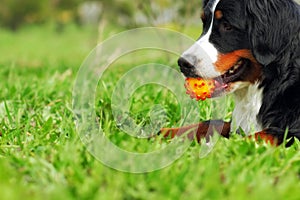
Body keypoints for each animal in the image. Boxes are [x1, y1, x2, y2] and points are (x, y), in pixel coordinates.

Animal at [162, 0, 300, 147]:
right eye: (204, 23)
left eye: (227, 26)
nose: (183, 63)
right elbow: (208, 123)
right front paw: (161, 133)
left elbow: (252, 138)